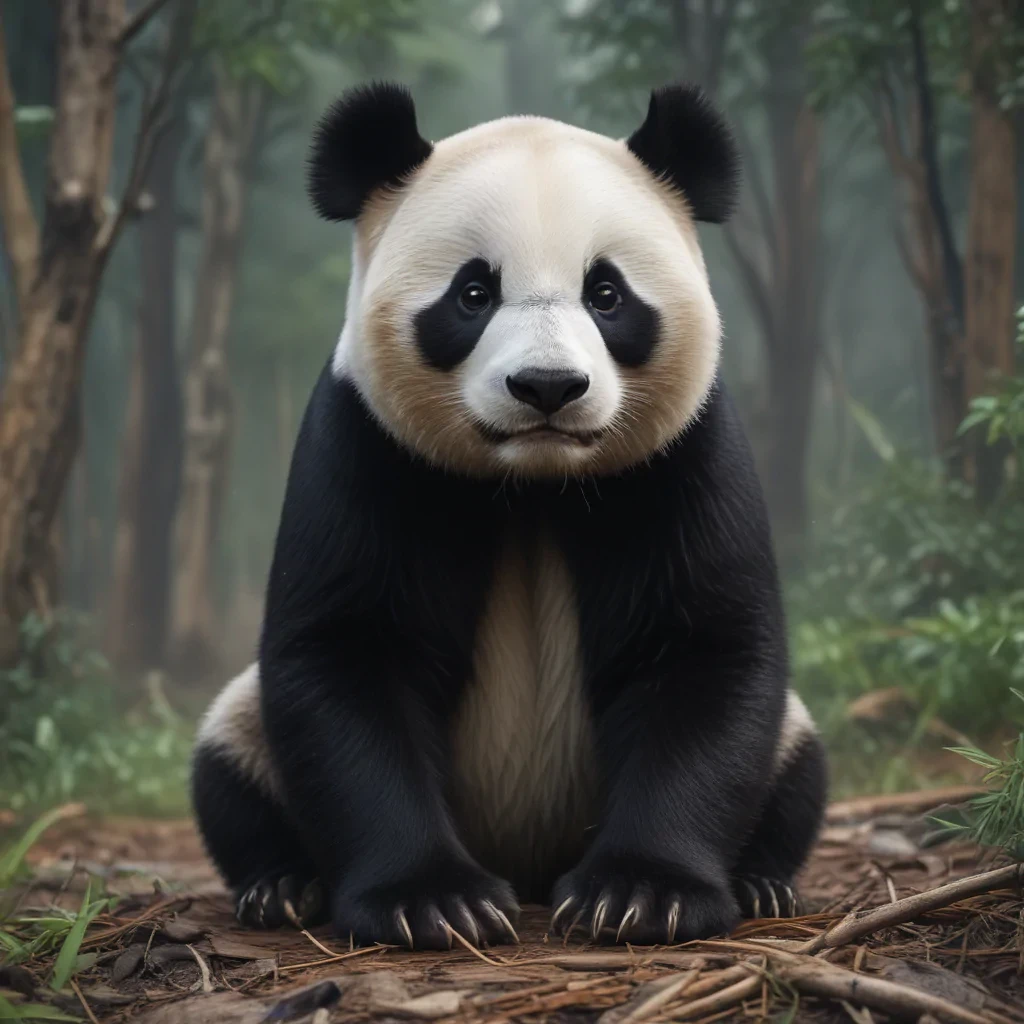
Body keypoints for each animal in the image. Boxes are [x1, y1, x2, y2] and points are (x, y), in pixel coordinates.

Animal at [191, 81, 828, 951]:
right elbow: (346, 653)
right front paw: (431, 901)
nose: (548, 387)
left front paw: (641, 894)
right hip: (245, 726)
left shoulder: (683, 453)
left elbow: (706, 649)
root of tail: (528, 858)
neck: (534, 483)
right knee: (230, 764)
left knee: (796, 764)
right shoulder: (365, 444)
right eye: (472, 293)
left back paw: (764, 882)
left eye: (607, 294)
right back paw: (281, 887)